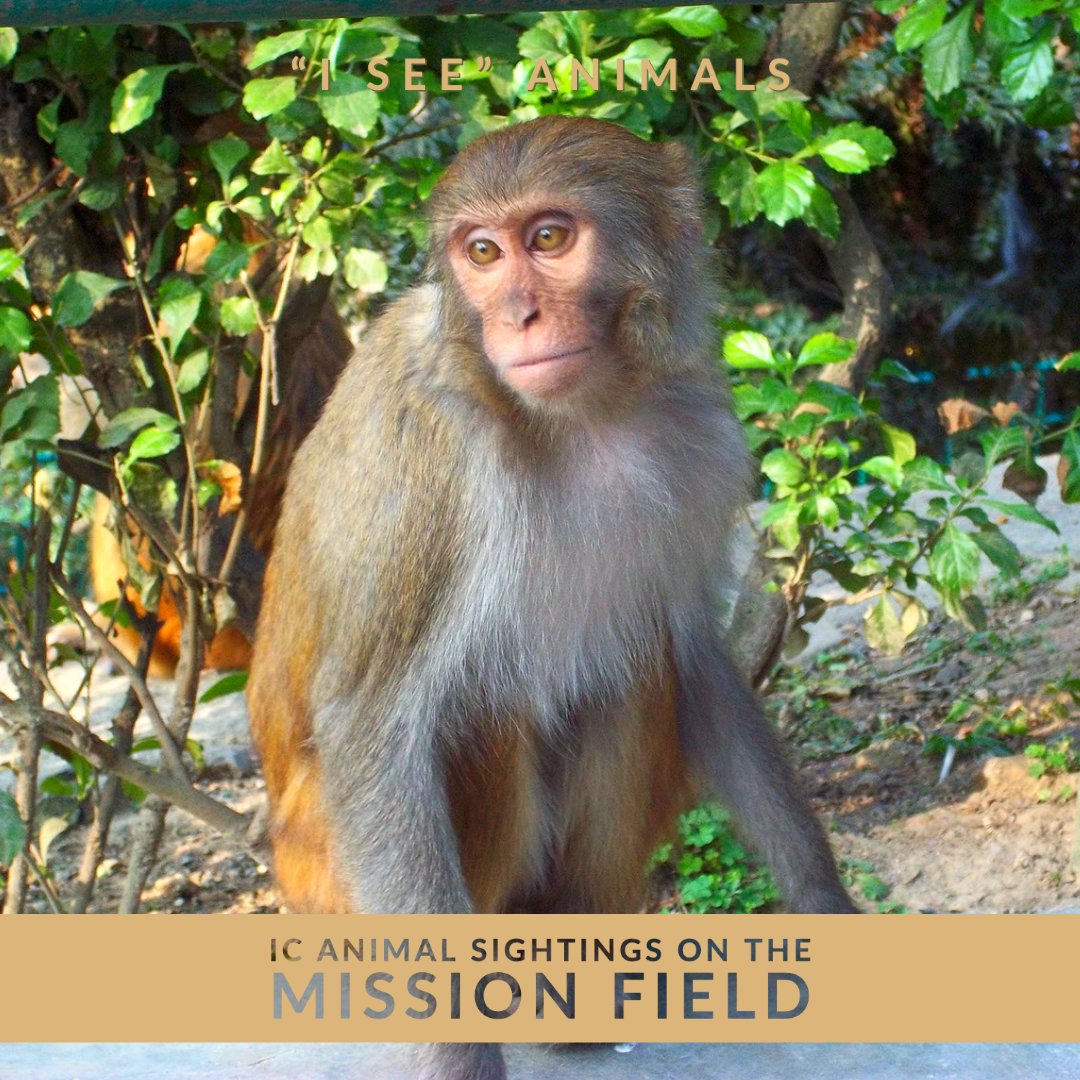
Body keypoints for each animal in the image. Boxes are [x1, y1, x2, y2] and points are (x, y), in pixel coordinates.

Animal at [247, 116, 857, 1080]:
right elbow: (373, 723)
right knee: (480, 712)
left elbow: (694, 651)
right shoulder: (429, 453)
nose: (519, 315)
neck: (580, 416)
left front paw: (820, 895)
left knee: (633, 677)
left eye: (548, 239)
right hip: (328, 889)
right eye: (482, 254)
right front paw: (461, 1060)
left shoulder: (698, 424)